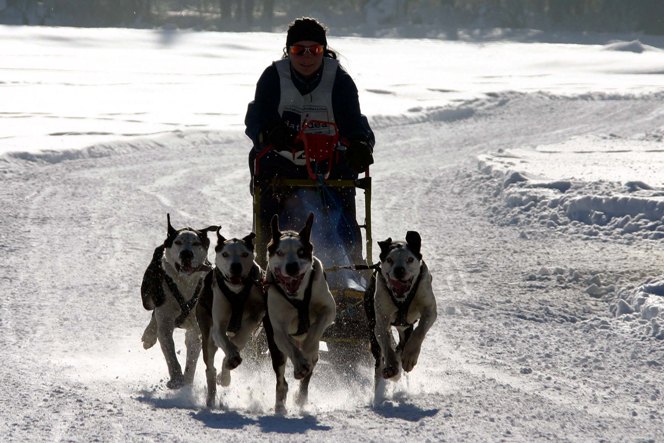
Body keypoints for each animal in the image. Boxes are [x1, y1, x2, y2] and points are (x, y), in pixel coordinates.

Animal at [141, 214, 218, 388]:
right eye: (178, 242)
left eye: (196, 243)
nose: (186, 254)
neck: (184, 283)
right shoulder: (165, 320)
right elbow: (169, 351)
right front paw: (176, 378)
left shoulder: (197, 330)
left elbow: (192, 356)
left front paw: (187, 382)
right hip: (148, 297)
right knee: (153, 314)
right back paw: (149, 335)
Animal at [195, 229, 264, 410]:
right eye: (225, 254)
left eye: (244, 254)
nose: (236, 266)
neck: (237, 291)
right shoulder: (218, 326)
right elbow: (225, 341)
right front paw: (231, 358)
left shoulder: (256, 315)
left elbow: (240, 339)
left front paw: (229, 362)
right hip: (207, 335)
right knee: (210, 368)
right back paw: (211, 397)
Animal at [264, 213, 338, 414]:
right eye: (280, 252)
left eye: (301, 252)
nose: (292, 267)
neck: (297, 298)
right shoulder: (278, 330)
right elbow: (291, 348)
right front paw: (299, 365)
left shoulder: (328, 310)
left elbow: (314, 333)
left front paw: (308, 349)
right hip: (276, 350)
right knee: (281, 379)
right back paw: (280, 404)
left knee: (308, 373)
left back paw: (301, 396)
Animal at [364, 232, 436, 402]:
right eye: (389, 260)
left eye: (410, 259)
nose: (399, 270)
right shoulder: (380, 321)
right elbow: (386, 343)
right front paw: (391, 366)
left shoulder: (429, 310)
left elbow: (419, 332)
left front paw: (409, 357)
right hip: (373, 333)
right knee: (380, 362)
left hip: (405, 328)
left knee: (402, 344)